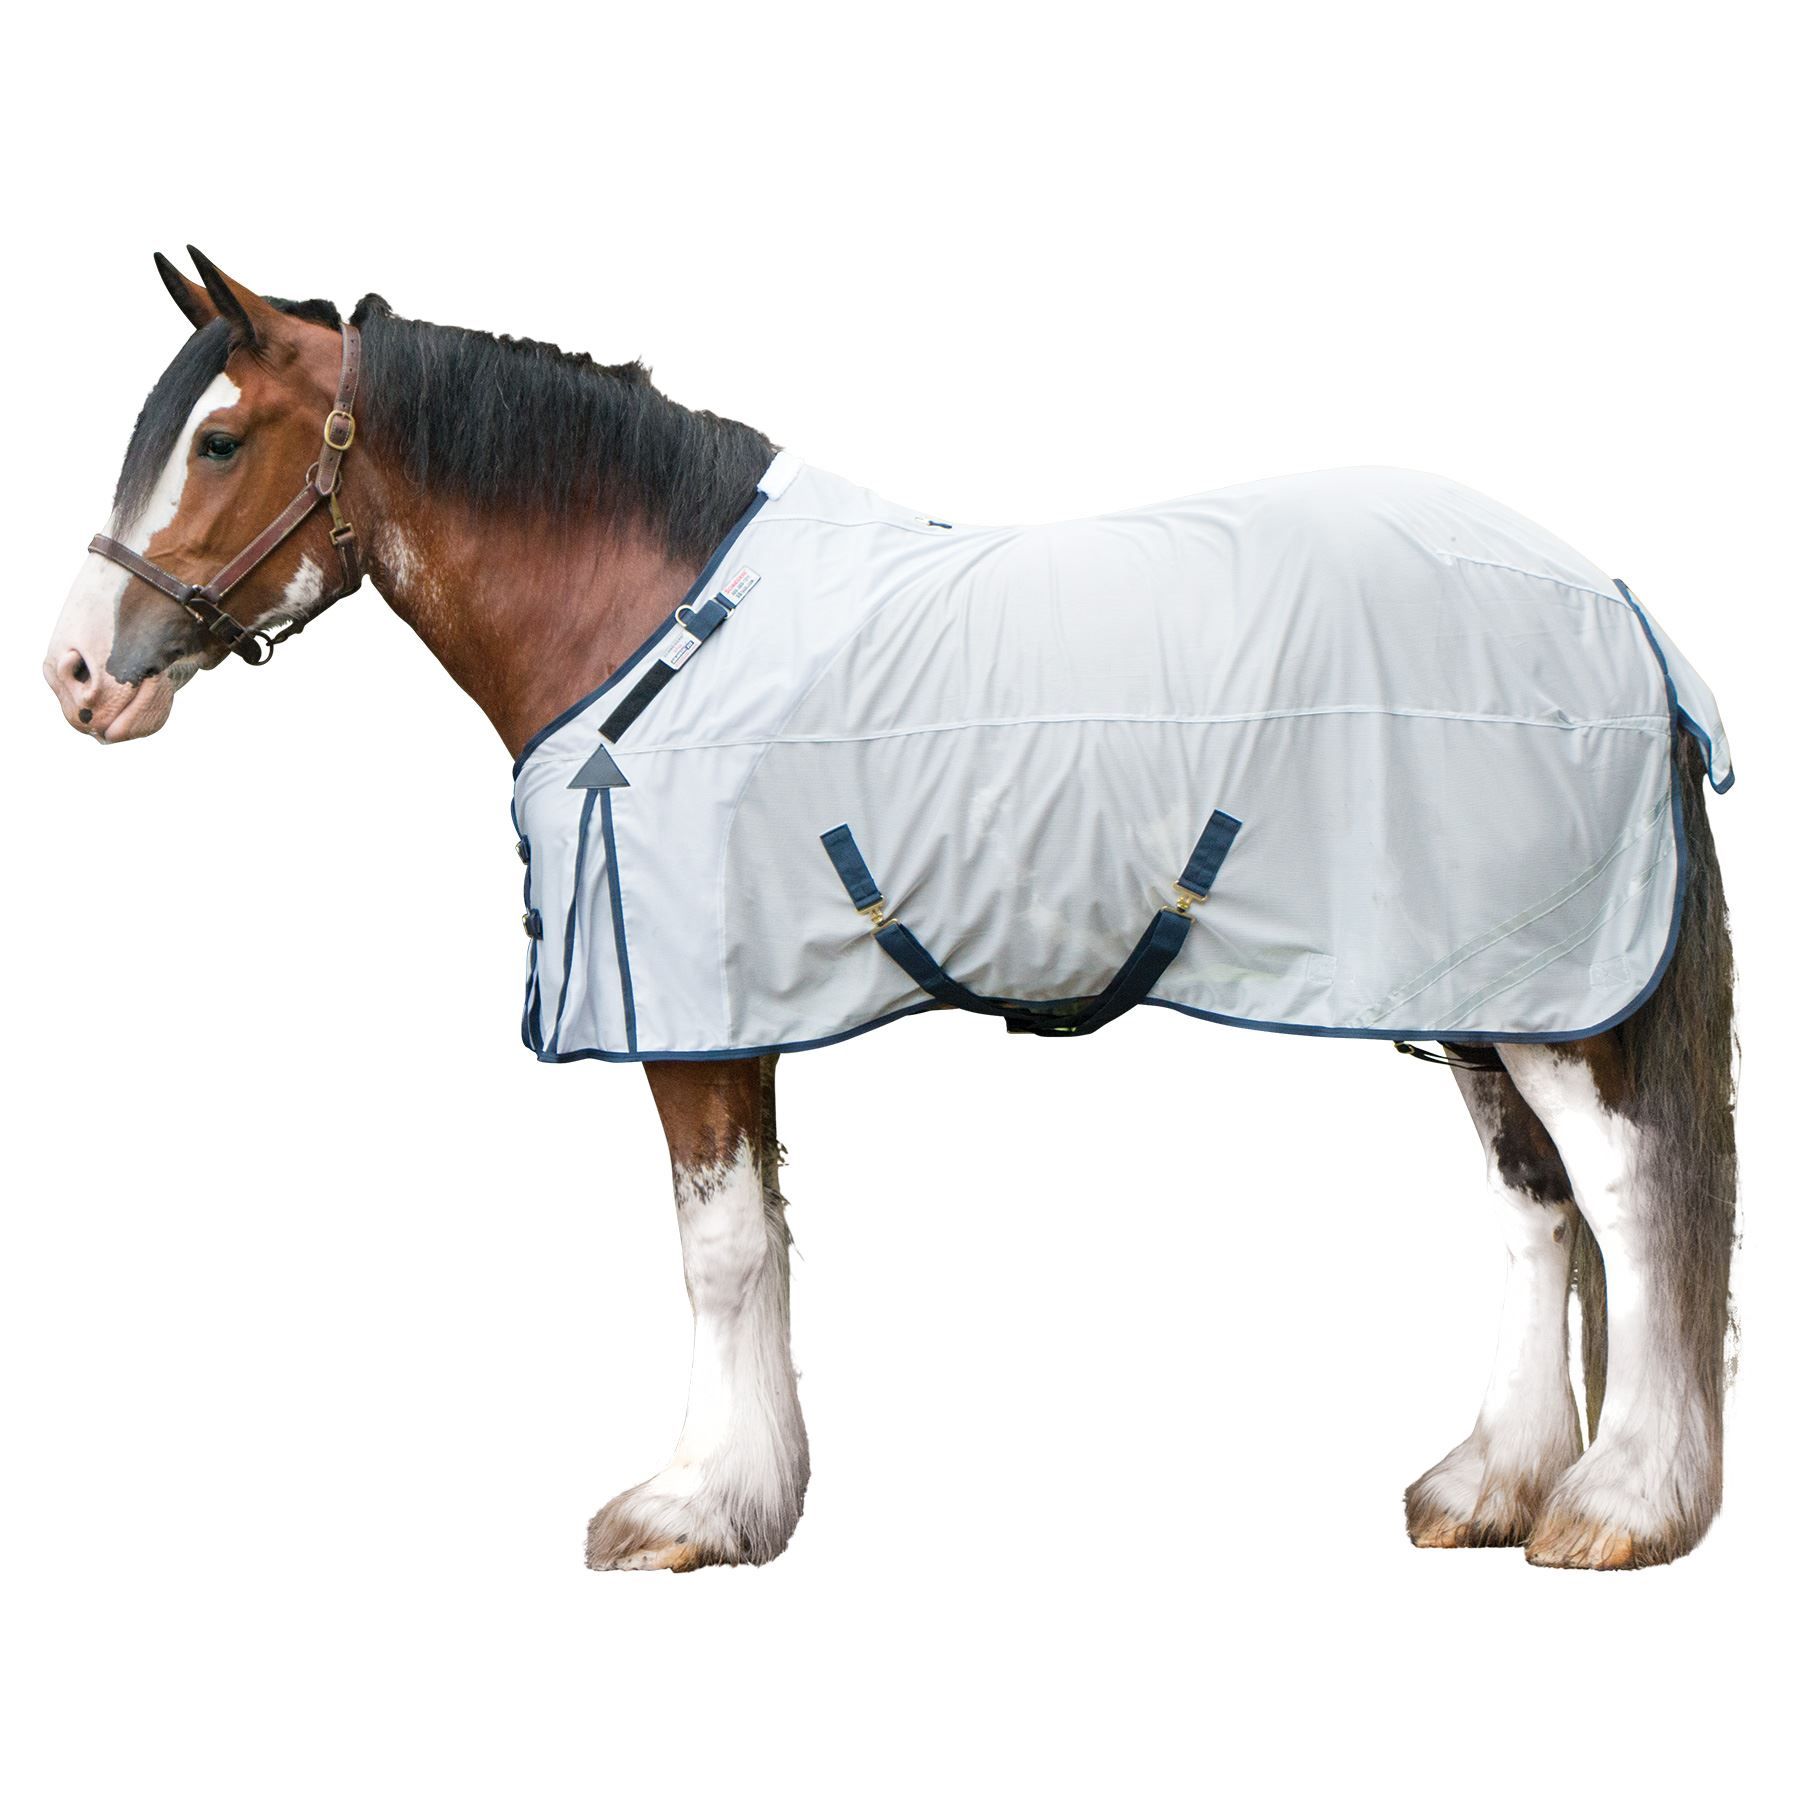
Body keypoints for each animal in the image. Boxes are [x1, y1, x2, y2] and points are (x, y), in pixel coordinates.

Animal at [43, 250, 1738, 1572]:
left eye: (216, 439)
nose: (76, 677)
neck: (649, 624)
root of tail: (1614, 601)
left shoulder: (696, 1011)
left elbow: (721, 1250)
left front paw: (692, 1510)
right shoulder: (739, 1008)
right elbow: (763, 1243)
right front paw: (751, 1495)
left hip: (1553, 997)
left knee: (1629, 1198)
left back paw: (1620, 1508)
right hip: (1484, 988)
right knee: (1533, 1211)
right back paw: (1490, 1485)